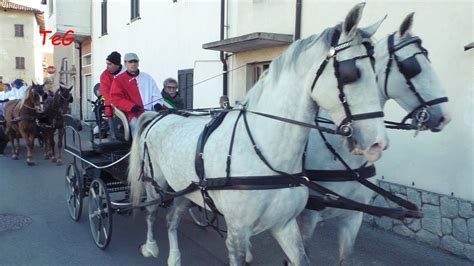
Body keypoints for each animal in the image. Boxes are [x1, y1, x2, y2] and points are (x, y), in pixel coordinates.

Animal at [128, 3, 386, 266]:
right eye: (350, 73)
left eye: (377, 72)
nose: (378, 143)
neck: (265, 153)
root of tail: (160, 116)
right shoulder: (237, 233)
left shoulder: (285, 225)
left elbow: (301, 258)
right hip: (156, 184)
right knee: (152, 212)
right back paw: (151, 247)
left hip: (184, 188)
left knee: (172, 218)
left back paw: (174, 257)